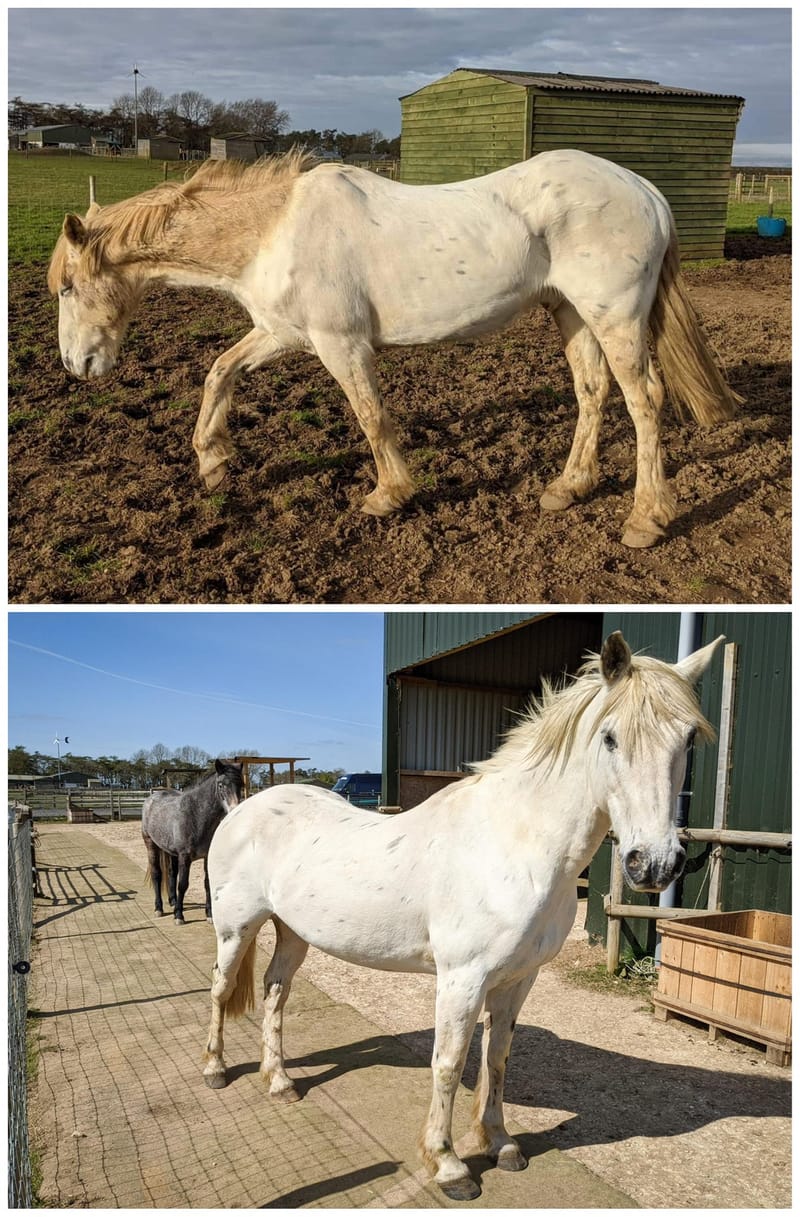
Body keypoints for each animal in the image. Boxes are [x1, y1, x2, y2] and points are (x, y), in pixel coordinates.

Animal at [47, 149, 741, 549]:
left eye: (68, 287)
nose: (78, 367)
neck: (272, 231)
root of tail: (645, 191)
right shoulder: (282, 333)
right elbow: (219, 372)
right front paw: (214, 462)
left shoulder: (340, 344)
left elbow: (371, 417)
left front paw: (389, 494)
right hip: (570, 312)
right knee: (592, 393)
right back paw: (567, 488)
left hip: (614, 316)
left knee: (644, 401)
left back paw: (646, 519)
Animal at [141, 759, 243, 924]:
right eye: (221, 785)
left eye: (241, 784)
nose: (234, 810)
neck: (196, 814)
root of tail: (152, 797)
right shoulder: (185, 857)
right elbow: (183, 885)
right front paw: (179, 916)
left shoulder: (206, 856)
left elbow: (207, 884)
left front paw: (209, 915)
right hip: (151, 845)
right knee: (157, 874)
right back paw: (159, 908)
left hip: (171, 852)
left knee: (171, 873)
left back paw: (173, 901)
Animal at [201, 631, 721, 1200]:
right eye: (609, 738)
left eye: (688, 740)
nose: (654, 864)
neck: (515, 844)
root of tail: (242, 809)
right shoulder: (462, 980)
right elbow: (448, 1064)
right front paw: (449, 1164)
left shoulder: (518, 979)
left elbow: (497, 1057)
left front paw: (501, 1143)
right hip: (235, 929)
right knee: (221, 990)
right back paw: (215, 1069)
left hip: (294, 932)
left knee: (274, 993)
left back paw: (279, 1082)